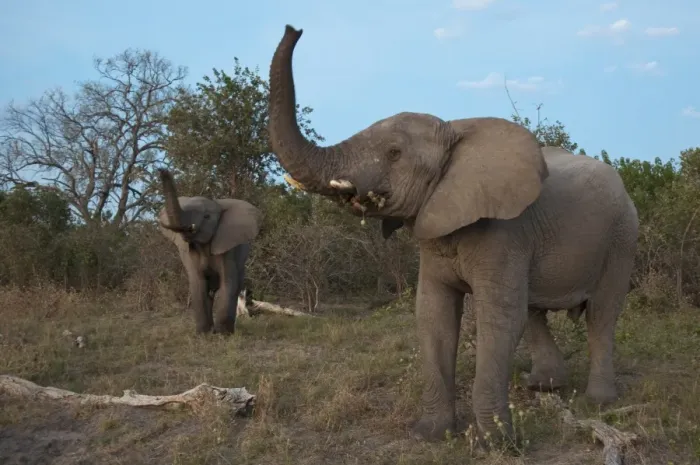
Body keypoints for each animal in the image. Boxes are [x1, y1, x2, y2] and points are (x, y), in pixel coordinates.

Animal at [157, 169, 263, 335]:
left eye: (207, 216)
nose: (162, 169)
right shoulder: (190, 252)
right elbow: (198, 284)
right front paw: (203, 334)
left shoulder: (228, 247)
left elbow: (228, 283)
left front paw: (223, 335)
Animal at [266, 25, 639, 444]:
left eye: (394, 153)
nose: (294, 29)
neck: (456, 133)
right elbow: (433, 315)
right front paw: (431, 435)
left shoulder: (504, 232)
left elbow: (498, 318)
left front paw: (497, 443)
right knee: (536, 311)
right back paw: (544, 386)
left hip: (622, 235)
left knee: (602, 313)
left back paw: (598, 402)